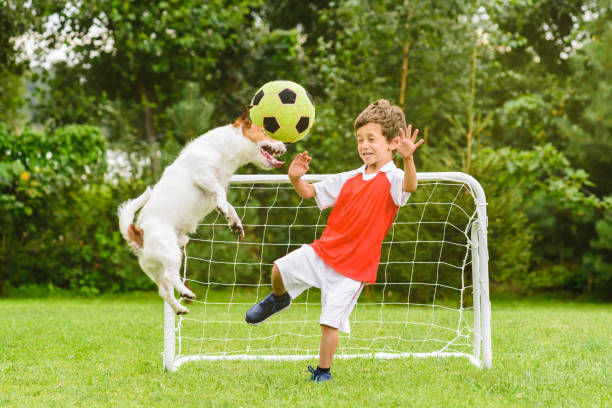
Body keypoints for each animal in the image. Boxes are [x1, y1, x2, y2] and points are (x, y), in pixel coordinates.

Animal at [118, 111, 286, 316]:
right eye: (262, 131)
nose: (284, 145)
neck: (222, 149)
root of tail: (137, 233)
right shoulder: (204, 176)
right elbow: (221, 195)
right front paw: (225, 211)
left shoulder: (216, 187)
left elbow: (228, 205)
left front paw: (235, 223)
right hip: (171, 252)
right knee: (171, 275)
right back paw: (185, 292)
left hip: (156, 266)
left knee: (164, 290)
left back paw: (179, 307)